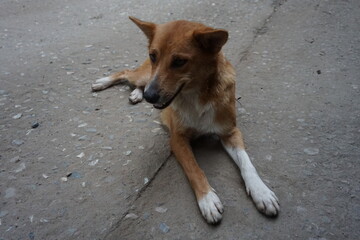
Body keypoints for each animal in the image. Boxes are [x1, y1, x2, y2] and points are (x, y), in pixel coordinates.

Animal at [92, 17, 278, 225]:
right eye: (154, 56)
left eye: (179, 61)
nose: (149, 97)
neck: (198, 97)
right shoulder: (177, 139)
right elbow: (194, 168)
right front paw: (208, 200)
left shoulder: (230, 132)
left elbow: (247, 163)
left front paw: (261, 192)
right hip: (145, 76)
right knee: (126, 72)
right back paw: (104, 82)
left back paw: (136, 94)